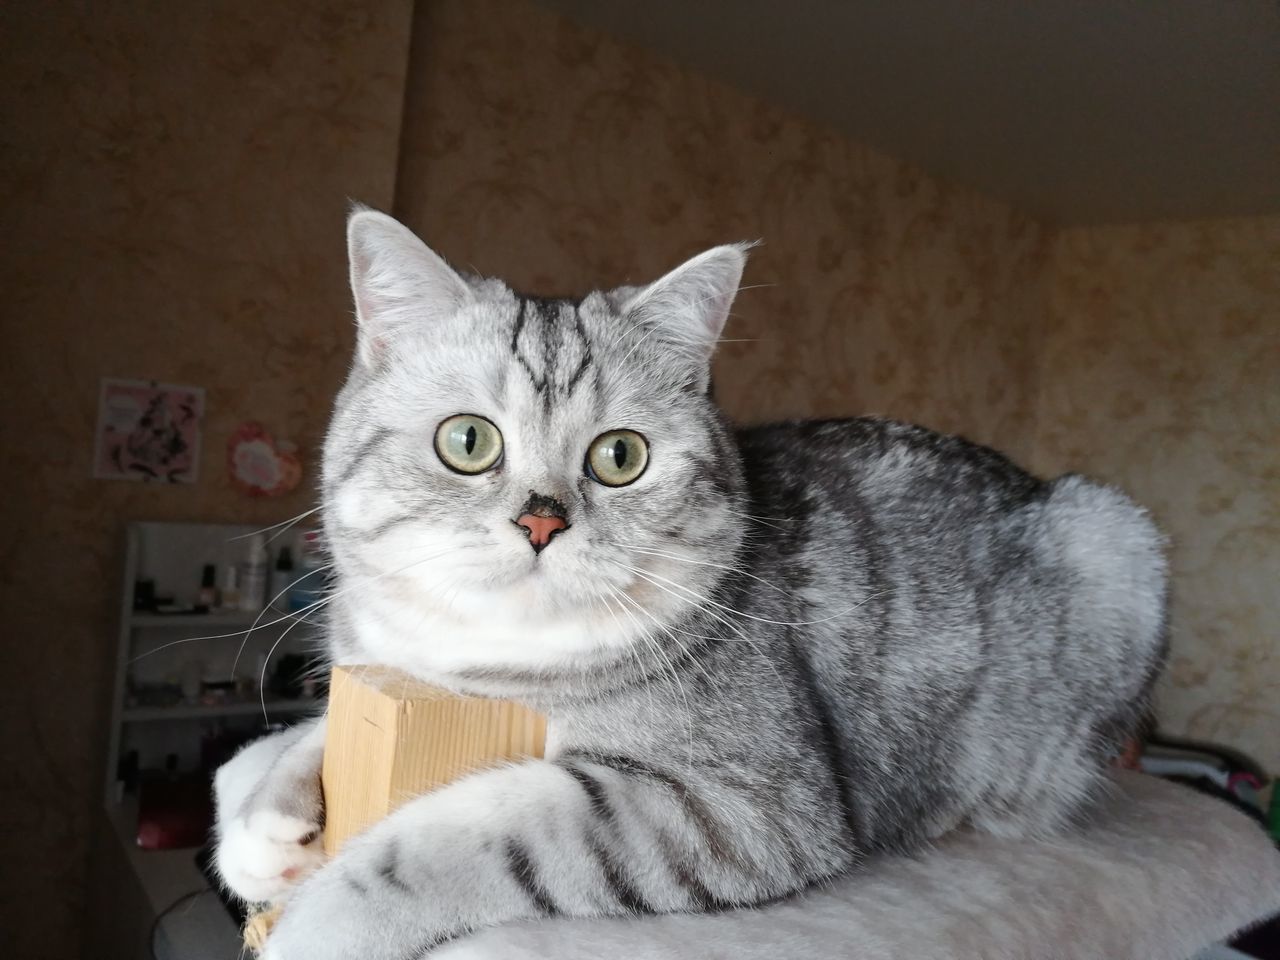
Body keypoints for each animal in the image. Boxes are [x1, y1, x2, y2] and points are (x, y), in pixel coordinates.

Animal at [212, 207, 1172, 957]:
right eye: (469, 441)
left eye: (620, 457)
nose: (541, 522)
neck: (481, 664)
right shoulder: (386, 669)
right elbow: (280, 745)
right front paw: (266, 826)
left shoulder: (743, 807)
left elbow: (468, 837)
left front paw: (316, 921)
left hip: (1116, 546)